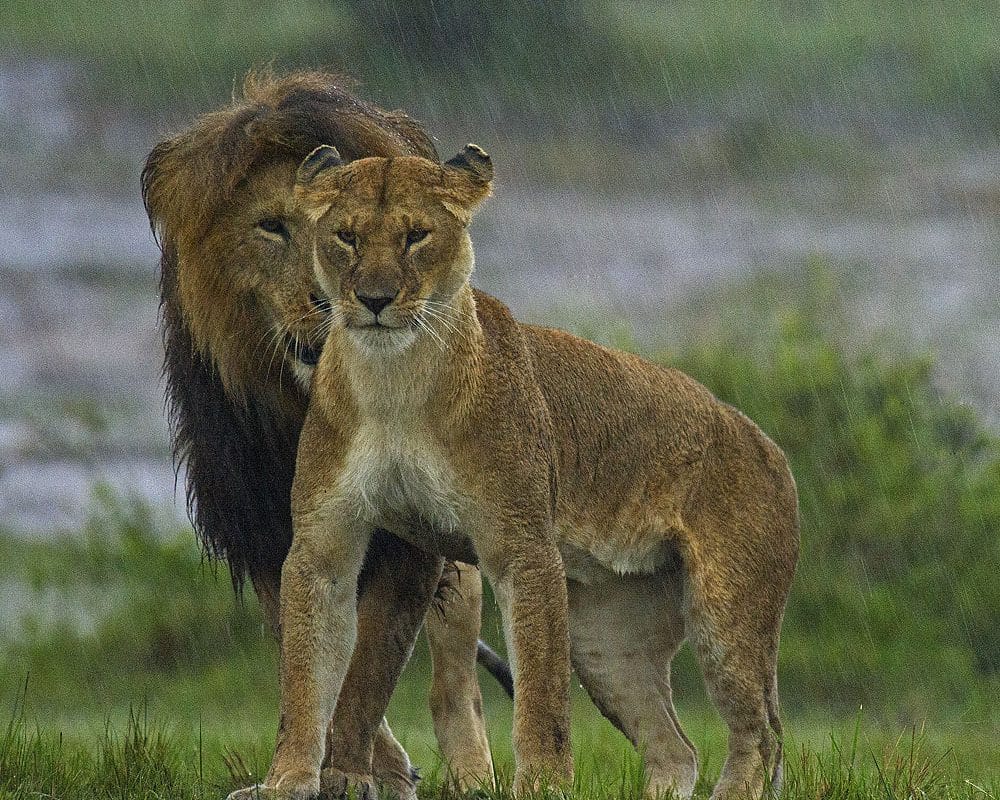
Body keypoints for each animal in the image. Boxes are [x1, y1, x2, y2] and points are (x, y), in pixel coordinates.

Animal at [140, 72, 509, 797]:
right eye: (272, 227)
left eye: (396, 233)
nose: (350, 297)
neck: (304, 403)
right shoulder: (266, 528)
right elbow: (307, 663)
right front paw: (297, 775)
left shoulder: (408, 543)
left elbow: (371, 667)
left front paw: (348, 771)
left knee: (455, 680)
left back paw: (472, 777)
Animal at [234, 144, 800, 800]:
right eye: (346, 238)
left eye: (416, 236)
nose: (374, 300)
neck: (394, 380)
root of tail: (767, 445)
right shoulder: (323, 545)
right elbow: (303, 682)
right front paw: (284, 781)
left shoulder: (522, 545)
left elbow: (541, 695)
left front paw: (543, 784)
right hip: (609, 645)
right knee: (675, 748)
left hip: (728, 617)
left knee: (759, 738)